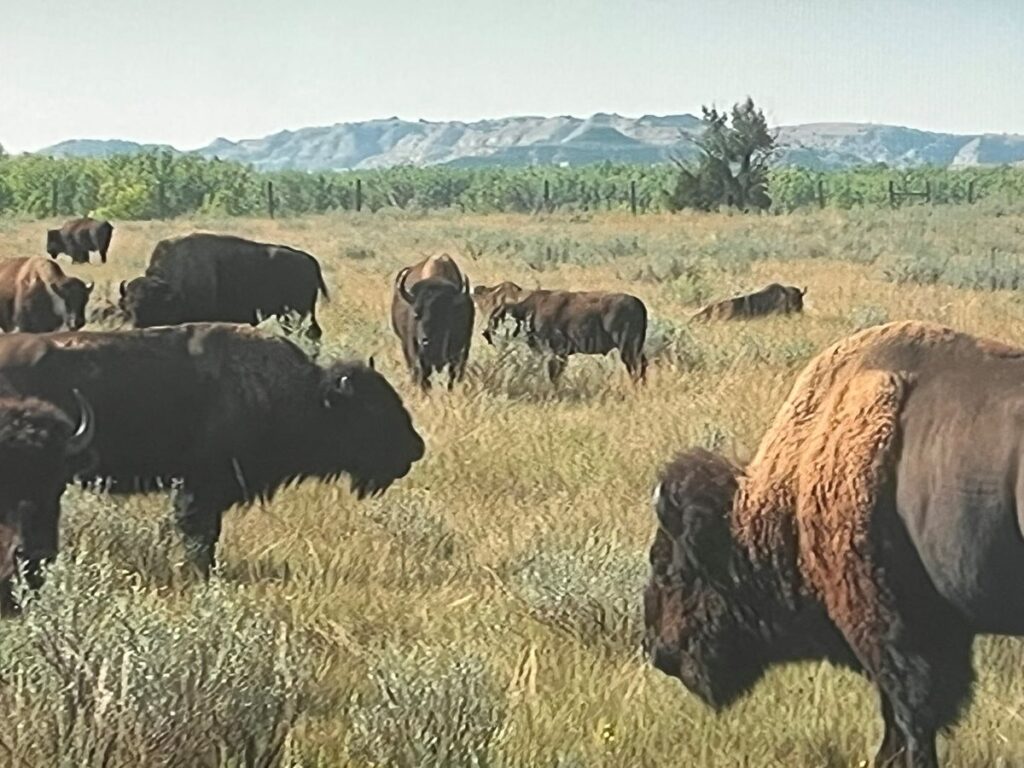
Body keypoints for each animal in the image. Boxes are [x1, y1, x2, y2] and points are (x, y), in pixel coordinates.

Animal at [119, 233, 330, 339]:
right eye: (128, 309)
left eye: (152, 307)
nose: (137, 329)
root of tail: (311, 261)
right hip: (289, 314)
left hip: (298, 312)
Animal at [484, 289, 647, 383]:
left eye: (497, 317)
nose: (486, 333)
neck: (531, 309)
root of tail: (638, 303)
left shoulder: (556, 352)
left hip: (627, 348)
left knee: (635, 367)